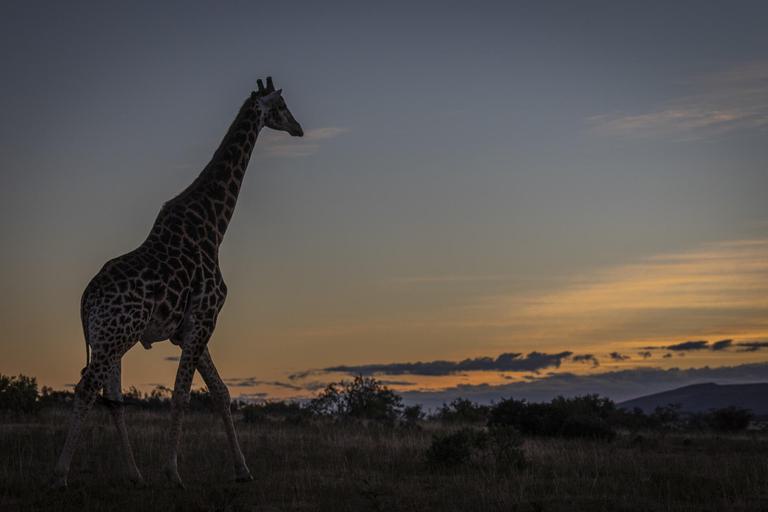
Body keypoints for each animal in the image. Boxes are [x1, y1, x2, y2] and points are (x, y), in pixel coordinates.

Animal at [52, 77, 303, 489]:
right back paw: (59, 475)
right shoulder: (204, 318)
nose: (298, 128)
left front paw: (243, 470)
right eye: (281, 106)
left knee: (112, 397)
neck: (214, 226)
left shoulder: (188, 329)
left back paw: (135, 475)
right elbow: (182, 395)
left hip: (110, 337)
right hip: (116, 334)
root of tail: (85, 299)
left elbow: (220, 392)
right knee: (87, 388)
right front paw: (173, 472)